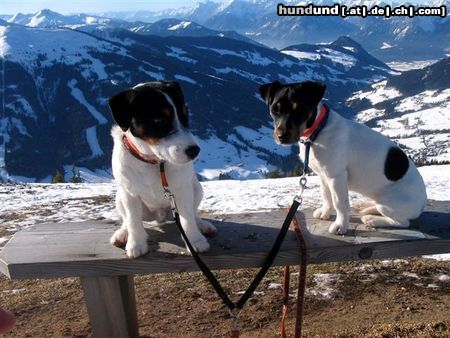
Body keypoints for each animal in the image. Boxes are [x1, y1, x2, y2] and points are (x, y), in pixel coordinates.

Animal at [107, 82, 216, 258]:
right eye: (159, 119)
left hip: (196, 188)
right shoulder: (129, 193)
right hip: (120, 196)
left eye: (185, 115)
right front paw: (136, 243)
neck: (154, 161)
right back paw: (123, 233)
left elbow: (187, 218)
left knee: (193, 213)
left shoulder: (182, 190)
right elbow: (133, 220)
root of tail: (160, 215)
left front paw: (195, 240)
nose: (194, 151)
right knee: (127, 218)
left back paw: (202, 225)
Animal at [258, 81, 428, 235]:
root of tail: (422, 203)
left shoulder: (336, 176)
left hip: (390, 203)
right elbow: (326, 196)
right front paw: (325, 213)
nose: (281, 136)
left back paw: (372, 220)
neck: (318, 132)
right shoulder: (323, 176)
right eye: (274, 110)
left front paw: (340, 225)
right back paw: (366, 207)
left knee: (402, 222)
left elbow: (339, 203)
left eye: (299, 109)